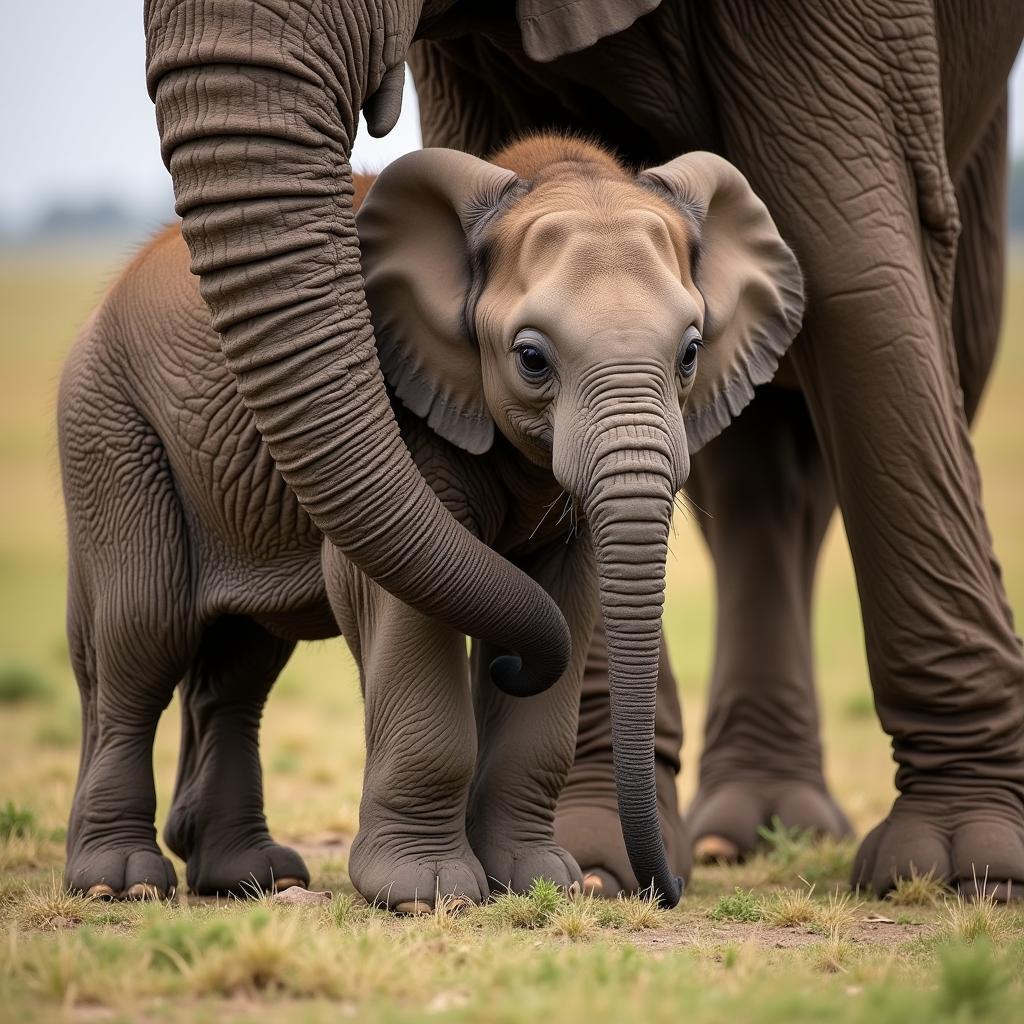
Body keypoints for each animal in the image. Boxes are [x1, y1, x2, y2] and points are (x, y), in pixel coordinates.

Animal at [59, 132, 802, 909]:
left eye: (690, 352)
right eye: (531, 358)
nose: (674, 885)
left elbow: (567, 597)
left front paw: (542, 881)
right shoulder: (405, 415)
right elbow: (395, 600)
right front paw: (427, 893)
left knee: (240, 667)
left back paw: (250, 877)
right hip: (111, 430)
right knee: (141, 643)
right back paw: (119, 884)